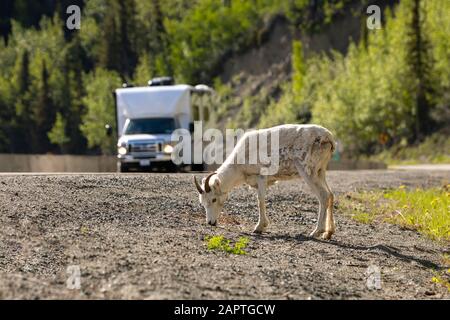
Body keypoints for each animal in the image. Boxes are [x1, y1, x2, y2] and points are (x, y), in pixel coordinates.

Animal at [194, 124, 338, 239]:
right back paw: (328, 233)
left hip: (308, 173)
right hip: (320, 172)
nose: (210, 223)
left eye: (213, 199)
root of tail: (327, 137)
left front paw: (259, 227)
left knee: (323, 196)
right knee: (330, 195)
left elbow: (260, 200)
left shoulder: (261, 177)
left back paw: (315, 232)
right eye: (202, 202)